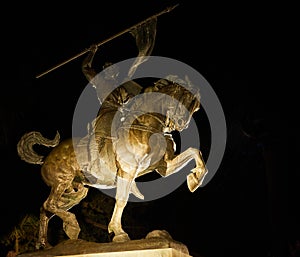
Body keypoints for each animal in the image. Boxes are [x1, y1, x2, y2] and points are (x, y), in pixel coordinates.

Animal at [17, 77, 209, 248]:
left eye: (196, 107)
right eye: (186, 98)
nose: (182, 124)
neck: (146, 126)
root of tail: (44, 159)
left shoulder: (164, 167)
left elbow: (194, 151)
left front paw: (195, 179)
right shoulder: (127, 170)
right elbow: (122, 200)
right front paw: (118, 232)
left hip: (75, 191)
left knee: (47, 209)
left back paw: (46, 244)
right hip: (62, 182)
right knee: (49, 205)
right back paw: (71, 225)